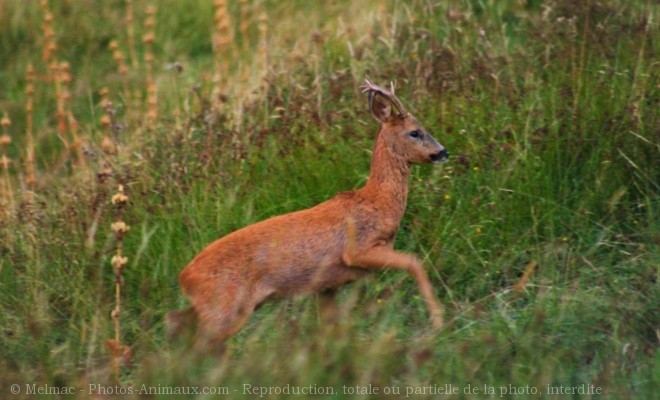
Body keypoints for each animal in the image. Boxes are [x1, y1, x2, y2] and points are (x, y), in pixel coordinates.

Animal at [169, 79, 448, 346]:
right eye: (415, 132)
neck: (377, 201)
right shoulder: (358, 249)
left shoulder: (327, 285)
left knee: (178, 322)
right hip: (226, 307)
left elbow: (330, 327)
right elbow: (415, 262)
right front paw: (437, 323)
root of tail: (185, 277)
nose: (443, 152)